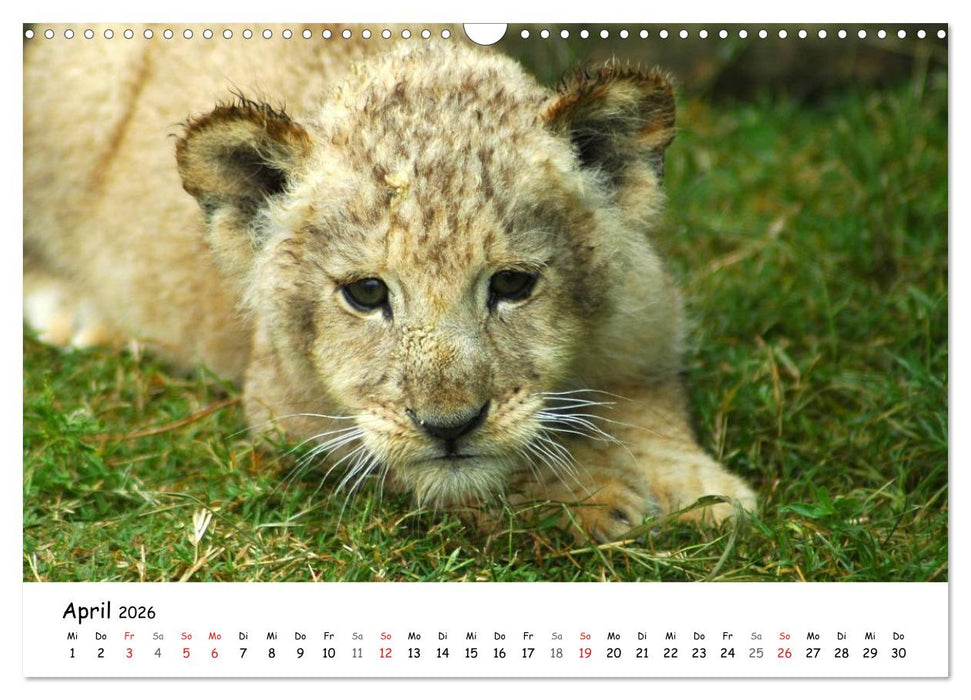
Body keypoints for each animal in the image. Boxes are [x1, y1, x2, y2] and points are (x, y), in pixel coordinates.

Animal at [24, 25, 756, 542]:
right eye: (368, 294)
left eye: (512, 284)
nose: (448, 426)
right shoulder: (287, 414)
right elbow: (477, 477)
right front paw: (596, 496)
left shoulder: (648, 316)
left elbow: (652, 407)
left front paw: (707, 493)